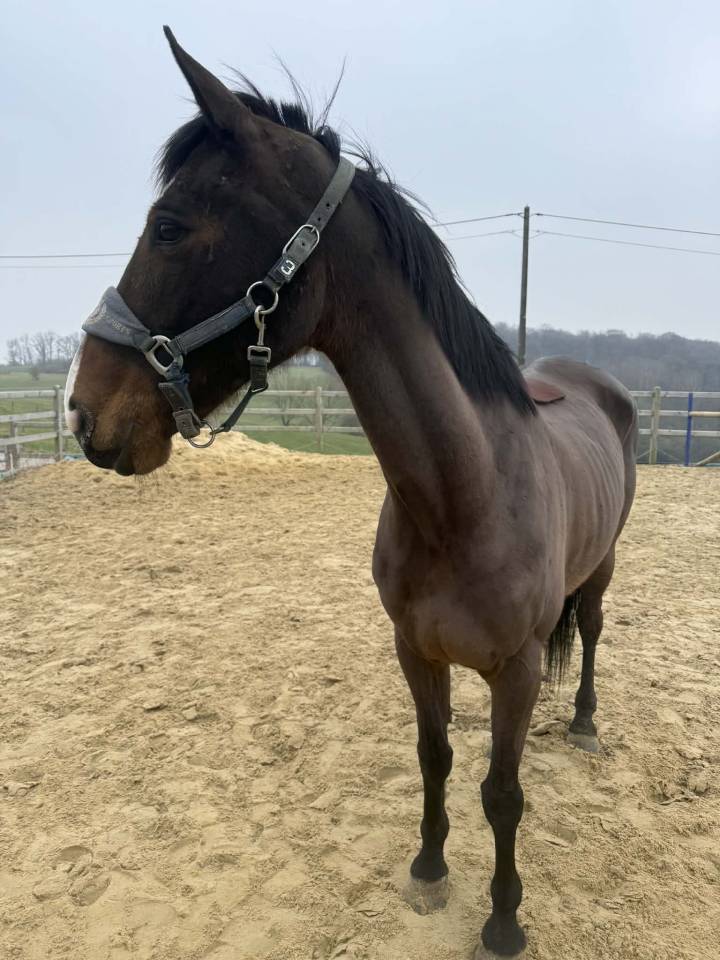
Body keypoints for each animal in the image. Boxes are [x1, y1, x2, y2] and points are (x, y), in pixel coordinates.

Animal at [65, 28, 638, 958]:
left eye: (169, 226)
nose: (83, 412)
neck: (462, 497)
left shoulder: (514, 671)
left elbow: (504, 793)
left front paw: (504, 918)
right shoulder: (414, 650)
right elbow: (436, 758)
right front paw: (430, 870)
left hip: (605, 569)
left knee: (588, 632)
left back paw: (585, 722)